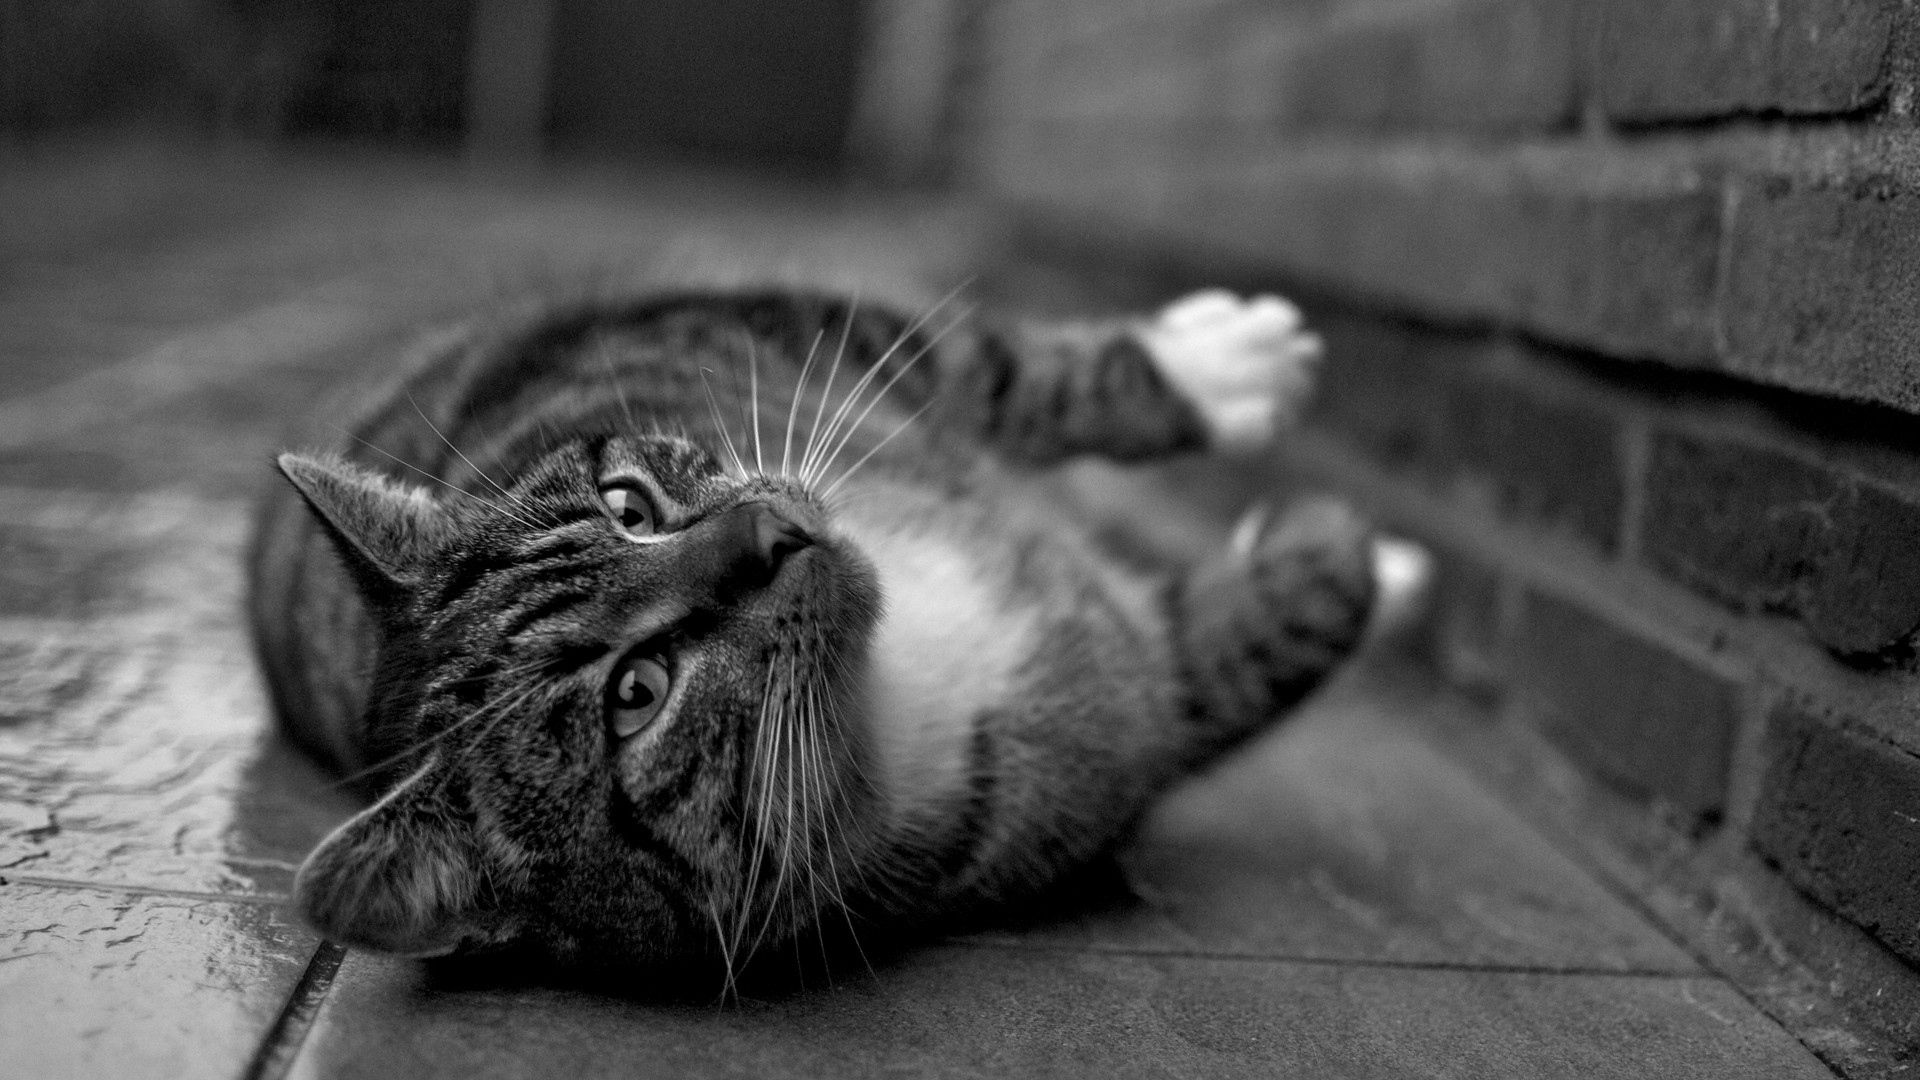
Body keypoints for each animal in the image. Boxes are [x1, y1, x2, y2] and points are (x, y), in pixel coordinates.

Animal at [247, 282, 1374, 972]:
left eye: (629, 506)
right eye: (636, 694)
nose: (771, 534)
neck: (890, 669)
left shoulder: (788, 331)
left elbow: (1002, 369)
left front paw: (1224, 368)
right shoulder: (1112, 731)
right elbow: (1263, 638)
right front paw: (1349, 544)